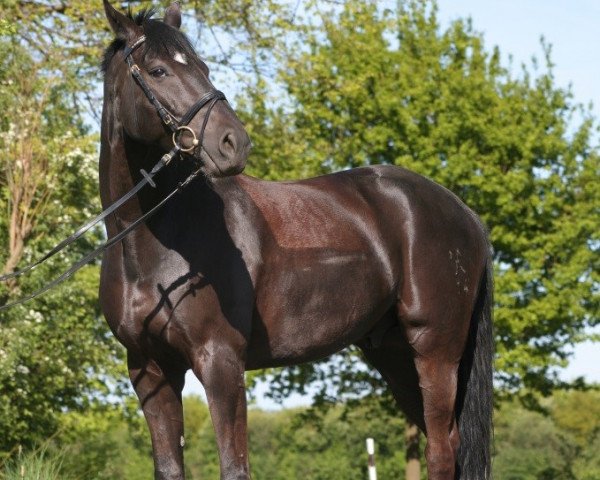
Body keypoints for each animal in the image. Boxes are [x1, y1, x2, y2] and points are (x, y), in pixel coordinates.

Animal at [99, 1, 492, 478]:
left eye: (203, 67)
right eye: (157, 71)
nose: (233, 143)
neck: (153, 248)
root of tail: (465, 213)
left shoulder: (220, 362)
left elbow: (234, 466)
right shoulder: (150, 370)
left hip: (435, 348)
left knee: (441, 449)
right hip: (396, 354)